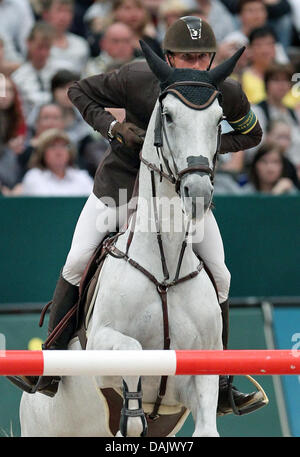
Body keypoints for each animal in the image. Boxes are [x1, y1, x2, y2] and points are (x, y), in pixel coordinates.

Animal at [18, 43, 245, 438]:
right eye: (167, 116)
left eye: (219, 120)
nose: (199, 193)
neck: (165, 268)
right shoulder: (105, 350)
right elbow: (134, 357)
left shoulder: (200, 372)